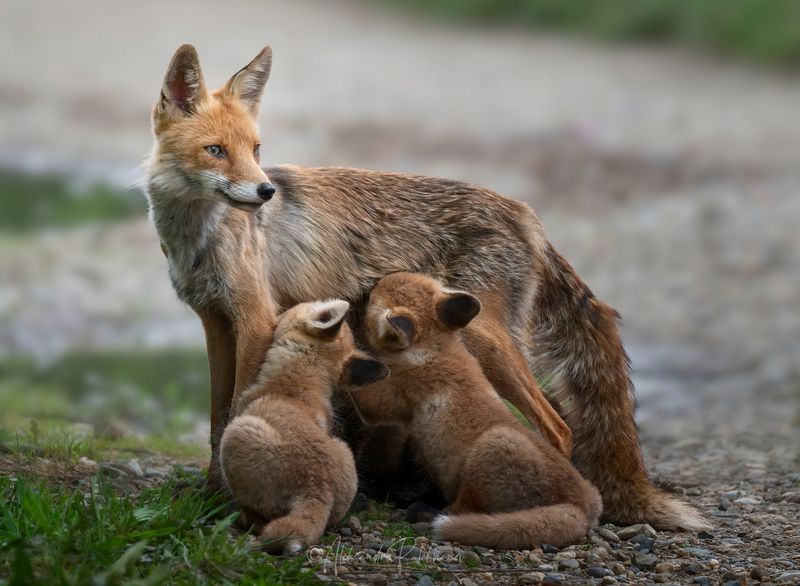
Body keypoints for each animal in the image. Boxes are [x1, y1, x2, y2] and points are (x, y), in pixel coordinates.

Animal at [220, 299, 389, 554]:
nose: (279, 310)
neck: (297, 386)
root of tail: (317, 491)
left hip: (236, 433)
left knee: (256, 520)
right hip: (343, 449)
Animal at [347, 272, 602, 549]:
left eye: (374, 295)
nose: (368, 286)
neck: (435, 347)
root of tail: (584, 510)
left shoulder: (388, 400)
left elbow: (365, 392)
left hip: (492, 448)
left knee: (465, 507)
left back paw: (426, 512)